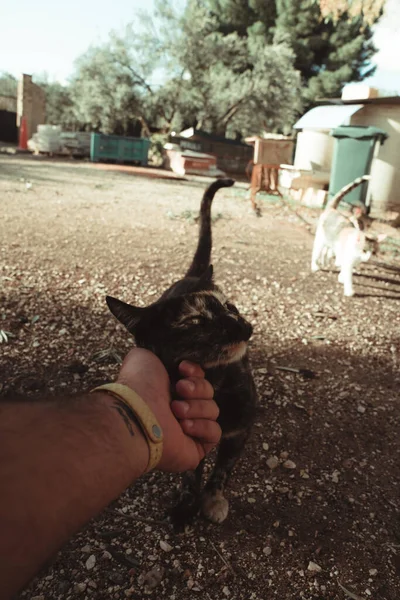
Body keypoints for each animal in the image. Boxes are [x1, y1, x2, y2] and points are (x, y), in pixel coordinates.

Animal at [106, 179, 256, 524]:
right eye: (196, 320)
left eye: (230, 307)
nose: (243, 327)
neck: (214, 384)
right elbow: (191, 469)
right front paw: (187, 503)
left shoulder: (241, 430)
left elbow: (223, 469)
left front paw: (212, 500)